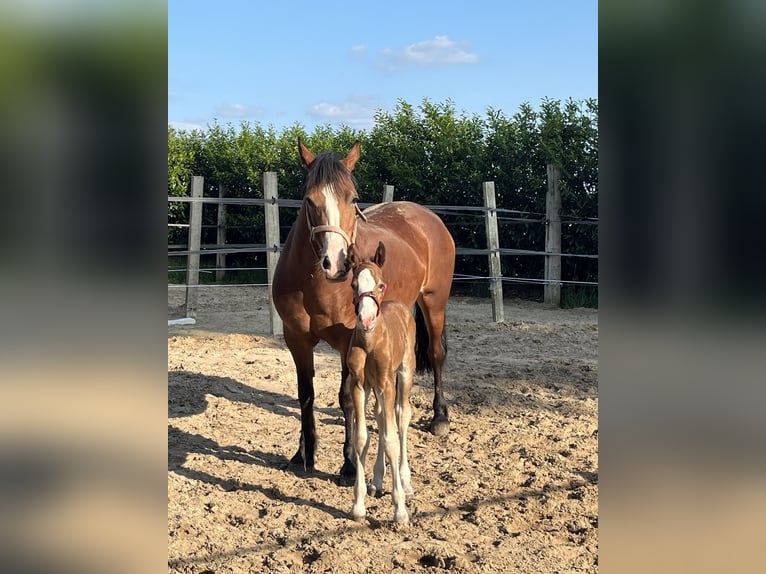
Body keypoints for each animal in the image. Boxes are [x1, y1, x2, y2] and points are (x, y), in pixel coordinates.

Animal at [271, 140, 456, 478]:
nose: (335, 262)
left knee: (436, 354)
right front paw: (303, 454)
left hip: (434, 303)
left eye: (353, 198)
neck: (315, 283)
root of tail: (425, 216)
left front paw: (348, 463)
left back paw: (439, 417)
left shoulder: (348, 340)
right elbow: (306, 394)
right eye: (309, 199)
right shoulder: (296, 340)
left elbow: (345, 396)